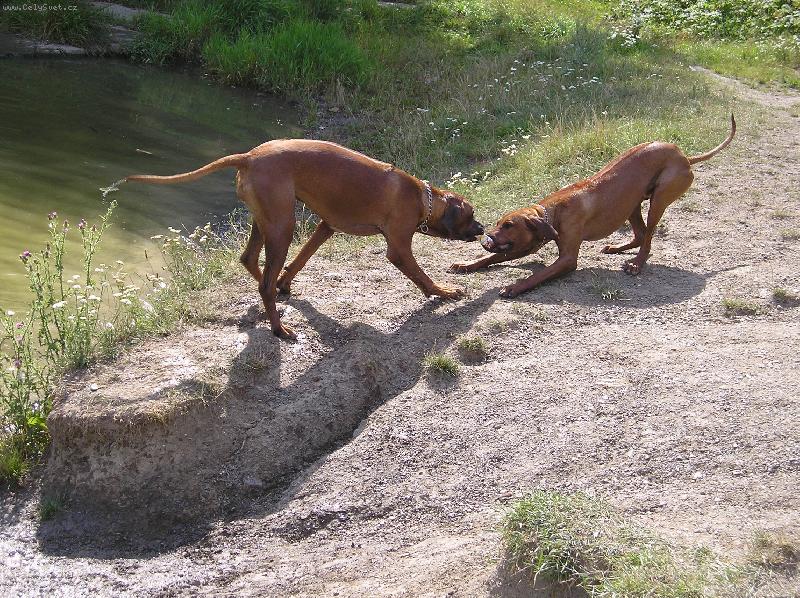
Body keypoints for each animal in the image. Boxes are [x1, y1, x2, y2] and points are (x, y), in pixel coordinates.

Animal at [126, 138, 482, 340]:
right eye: (470, 215)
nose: (482, 230)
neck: (423, 197)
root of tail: (248, 156)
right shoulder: (398, 248)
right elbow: (422, 276)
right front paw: (444, 292)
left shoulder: (325, 227)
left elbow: (301, 260)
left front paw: (287, 282)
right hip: (283, 225)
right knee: (263, 284)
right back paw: (278, 328)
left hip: (270, 221)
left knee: (251, 262)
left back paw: (273, 293)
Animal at [446, 115, 736, 300]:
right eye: (498, 223)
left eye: (508, 225)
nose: (486, 237)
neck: (552, 213)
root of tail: (685, 155)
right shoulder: (526, 245)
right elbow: (490, 259)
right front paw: (466, 264)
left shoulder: (567, 259)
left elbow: (537, 276)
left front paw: (515, 287)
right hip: (631, 204)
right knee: (640, 233)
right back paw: (617, 248)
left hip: (660, 198)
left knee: (649, 237)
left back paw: (636, 264)